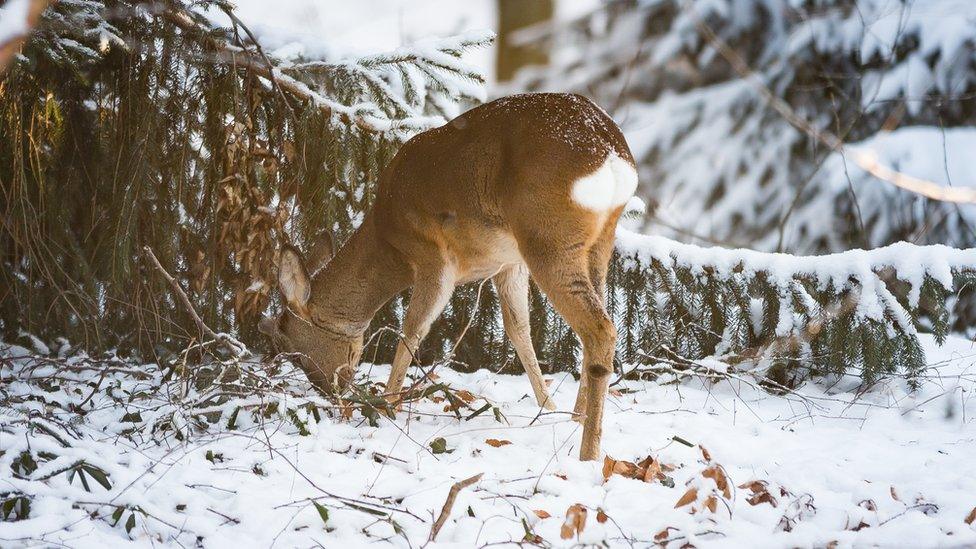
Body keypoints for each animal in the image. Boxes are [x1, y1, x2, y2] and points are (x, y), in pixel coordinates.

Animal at [260, 92, 636, 460]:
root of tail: (610, 148)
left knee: (600, 329)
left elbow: (412, 330)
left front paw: (386, 408)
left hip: (547, 235)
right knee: (595, 322)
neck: (386, 235)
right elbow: (518, 329)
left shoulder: (432, 254)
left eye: (292, 350)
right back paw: (577, 418)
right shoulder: (508, 264)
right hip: (598, 240)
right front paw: (549, 408)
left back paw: (589, 453)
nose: (330, 393)